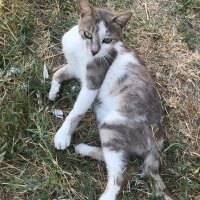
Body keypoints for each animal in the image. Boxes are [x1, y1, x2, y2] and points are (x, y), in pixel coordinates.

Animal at [48, 0, 173, 200]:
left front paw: (63, 134)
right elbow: (58, 73)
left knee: (120, 176)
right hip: (108, 128)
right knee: (118, 159)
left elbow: (76, 111)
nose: (94, 51)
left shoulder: (92, 82)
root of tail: (157, 144)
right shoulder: (74, 68)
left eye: (107, 40)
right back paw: (83, 148)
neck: (81, 50)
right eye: (88, 34)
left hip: (112, 125)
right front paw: (53, 92)